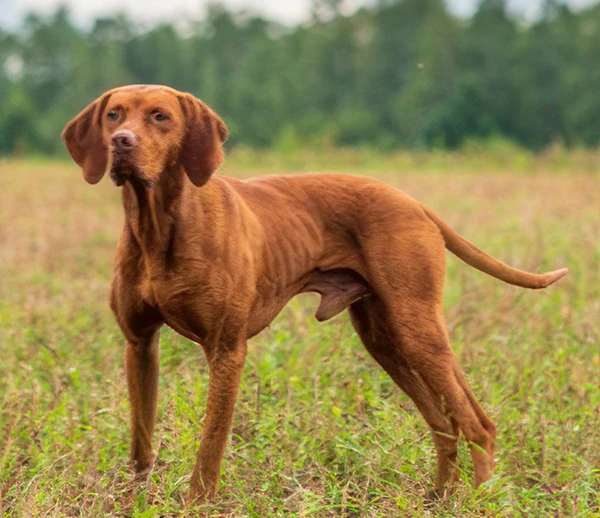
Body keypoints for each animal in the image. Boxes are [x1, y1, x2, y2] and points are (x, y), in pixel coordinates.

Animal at [61, 85, 568, 504]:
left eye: (160, 116)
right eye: (114, 114)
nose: (120, 142)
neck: (160, 224)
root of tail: (414, 202)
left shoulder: (227, 350)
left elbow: (210, 447)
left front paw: (196, 506)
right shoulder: (140, 344)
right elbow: (141, 443)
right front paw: (135, 502)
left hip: (416, 328)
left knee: (476, 424)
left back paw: (476, 499)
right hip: (385, 339)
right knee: (444, 424)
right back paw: (438, 499)